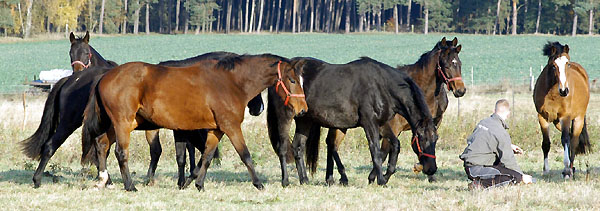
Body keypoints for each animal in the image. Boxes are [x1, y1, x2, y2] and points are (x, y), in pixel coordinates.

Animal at [81, 53, 308, 191]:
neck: (231, 82)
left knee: (101, 143)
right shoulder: (231, 127)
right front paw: (258, 184)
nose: (303, 109)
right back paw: (129, 185)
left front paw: (197, 183)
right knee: (120, 152)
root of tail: (106, 76)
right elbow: (245, 155)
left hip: (122, 124)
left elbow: (206, 157)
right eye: (292, 80)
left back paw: (105, 180)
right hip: (123, 123)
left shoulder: (217, 130)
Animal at [266, 56, 436, 186]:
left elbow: (395, 145)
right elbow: (375, 150)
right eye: (421, 138)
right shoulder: (369, 123)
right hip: (285, 117)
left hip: (305, 120)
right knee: (283, 147)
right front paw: (380, 180)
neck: (381, 86)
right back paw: (286, 181)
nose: (432, 169)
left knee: (298, 146)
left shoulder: (381, 124)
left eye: (436, 139)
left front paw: (385, 175)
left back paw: (304, 180)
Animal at [536, 41, 592, 178]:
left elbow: (565, 140)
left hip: (578, 119)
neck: (552, 94)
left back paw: (570, 169)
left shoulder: (565, 117)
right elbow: (546, 143)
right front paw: (545, 170)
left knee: (573, 140)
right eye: (553, 65)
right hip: (557, 123)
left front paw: (566, 170)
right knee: (571, 138)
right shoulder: (542, 117)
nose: (564, 91)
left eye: (568, 64)